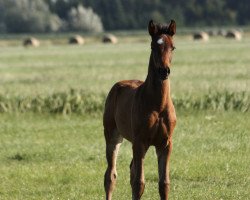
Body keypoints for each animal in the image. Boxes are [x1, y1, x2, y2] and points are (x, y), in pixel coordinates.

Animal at [102, 19, 177, 200]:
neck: (158, 105)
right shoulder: (140, 141)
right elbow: (139, 183)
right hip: (113, 136)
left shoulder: (165, 143)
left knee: (131, 170)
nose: (164, 71)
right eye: (153, 46)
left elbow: (164, 184)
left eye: (172, 47)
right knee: (110, 175)